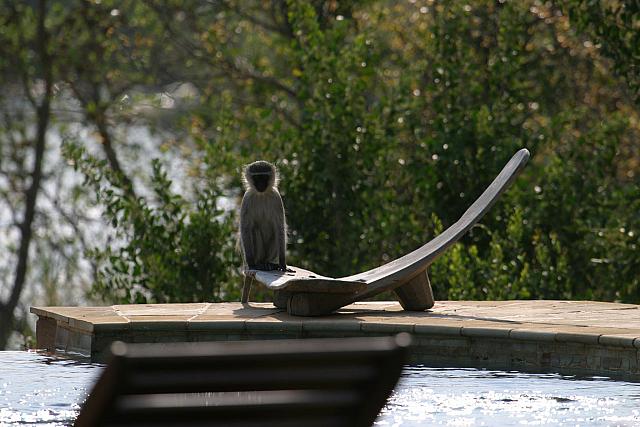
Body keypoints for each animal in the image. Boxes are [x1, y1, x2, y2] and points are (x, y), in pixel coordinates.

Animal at [239, 160, 291, 302]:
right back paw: (259, 264)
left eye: (264, 177)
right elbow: (245, 229)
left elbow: (279, 228)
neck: (261, 194)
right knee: (254, 230)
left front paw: (282, 263)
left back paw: (270, 264)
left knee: (275, 234)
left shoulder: (276, 197)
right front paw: (251, 264)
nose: (261, 184)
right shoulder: (247, 198)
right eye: (257, 177)